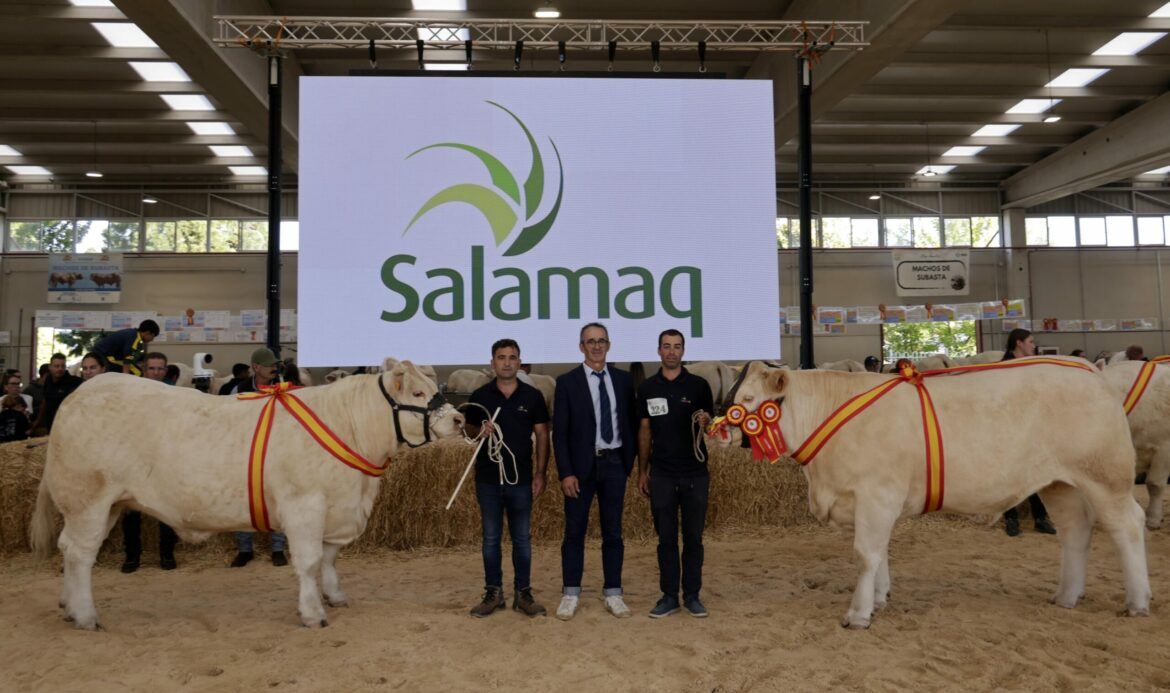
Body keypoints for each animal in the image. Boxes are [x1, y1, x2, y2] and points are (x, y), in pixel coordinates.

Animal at [29, 360, 463, 632]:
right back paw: (86, 615)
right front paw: (312, 613)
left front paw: (335, 595)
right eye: (419, 393)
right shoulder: (305, 505)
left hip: (107, 506)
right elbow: (308, 561)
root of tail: (81, 392)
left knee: (71, 550)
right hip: (88, 498)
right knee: (80, 553)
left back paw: (68, 606)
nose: (460, 419)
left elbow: (329, 558)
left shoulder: (336, 508)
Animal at [720, 360, 1151, 632]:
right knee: (1075, 531)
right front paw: (880, 598)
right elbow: (880, 553)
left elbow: (865, 554)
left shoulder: (877, 494)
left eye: (747, 403)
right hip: (1058, 483)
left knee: (1127, 526)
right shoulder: (871, 502)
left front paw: (859, 613)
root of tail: (1092, 372)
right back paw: (1066, 595)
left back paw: (1138, 601)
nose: (718, 429)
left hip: (1106, 476)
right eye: (733, 398)